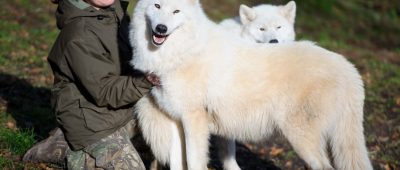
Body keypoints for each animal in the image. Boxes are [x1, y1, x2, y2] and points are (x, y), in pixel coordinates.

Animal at [130, 0, 372, 170]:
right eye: (157, 5)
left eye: (176, 12)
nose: (161, 28)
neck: (182, 52)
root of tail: (349, 69)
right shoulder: (175, 120)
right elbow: (178, 162)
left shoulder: (194, 120)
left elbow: (194, 162)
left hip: (301, 139)